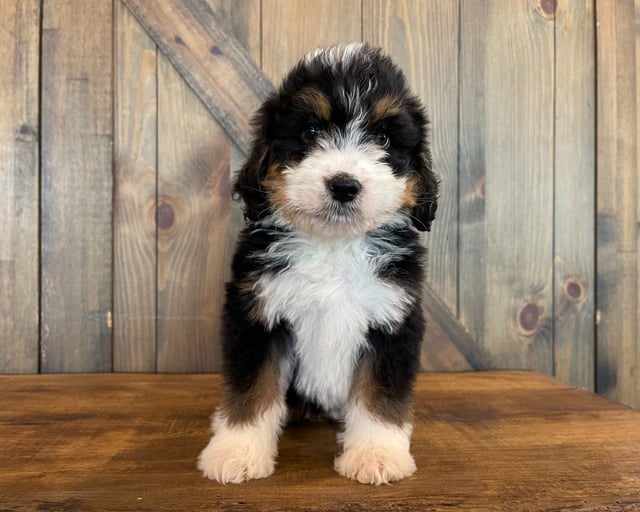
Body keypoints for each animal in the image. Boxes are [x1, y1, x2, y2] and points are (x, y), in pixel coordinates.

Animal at [199, 43, 440, 484]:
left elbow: (379, 395)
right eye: (311, 132)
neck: (333, 246)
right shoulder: (256, 312)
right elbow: (252, 388)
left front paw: (377, 454)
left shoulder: (393, 318)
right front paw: (236, 451)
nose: (344, 185)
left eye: (382, 137)